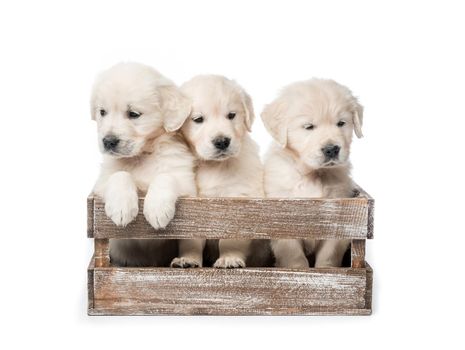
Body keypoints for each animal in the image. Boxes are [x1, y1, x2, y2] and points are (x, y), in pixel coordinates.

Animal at [91, 63, 202, 266]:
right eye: (102, 112)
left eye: (133, 114)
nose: (108, 141)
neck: (142, 155)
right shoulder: (100, 184)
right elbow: (120, 175)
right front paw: (122, 207)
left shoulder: (186, 185)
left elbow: (165, 177)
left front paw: (157, 209)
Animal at [180, 74, 268, 268]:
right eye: (198, 119)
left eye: (231, 115)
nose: (221, 141)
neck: (214, 165)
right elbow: (190, 237)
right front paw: (188, 259)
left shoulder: (240, 196)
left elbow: (231, 238)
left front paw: (230, 258)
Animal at [260, 79, 362, 270]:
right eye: (309, 127)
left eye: (341, 123)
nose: (332, 149)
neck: (313, 174)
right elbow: (294, 256)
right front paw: (299, 271)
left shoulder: (338, 219)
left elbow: (329, 255)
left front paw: (326, 272)